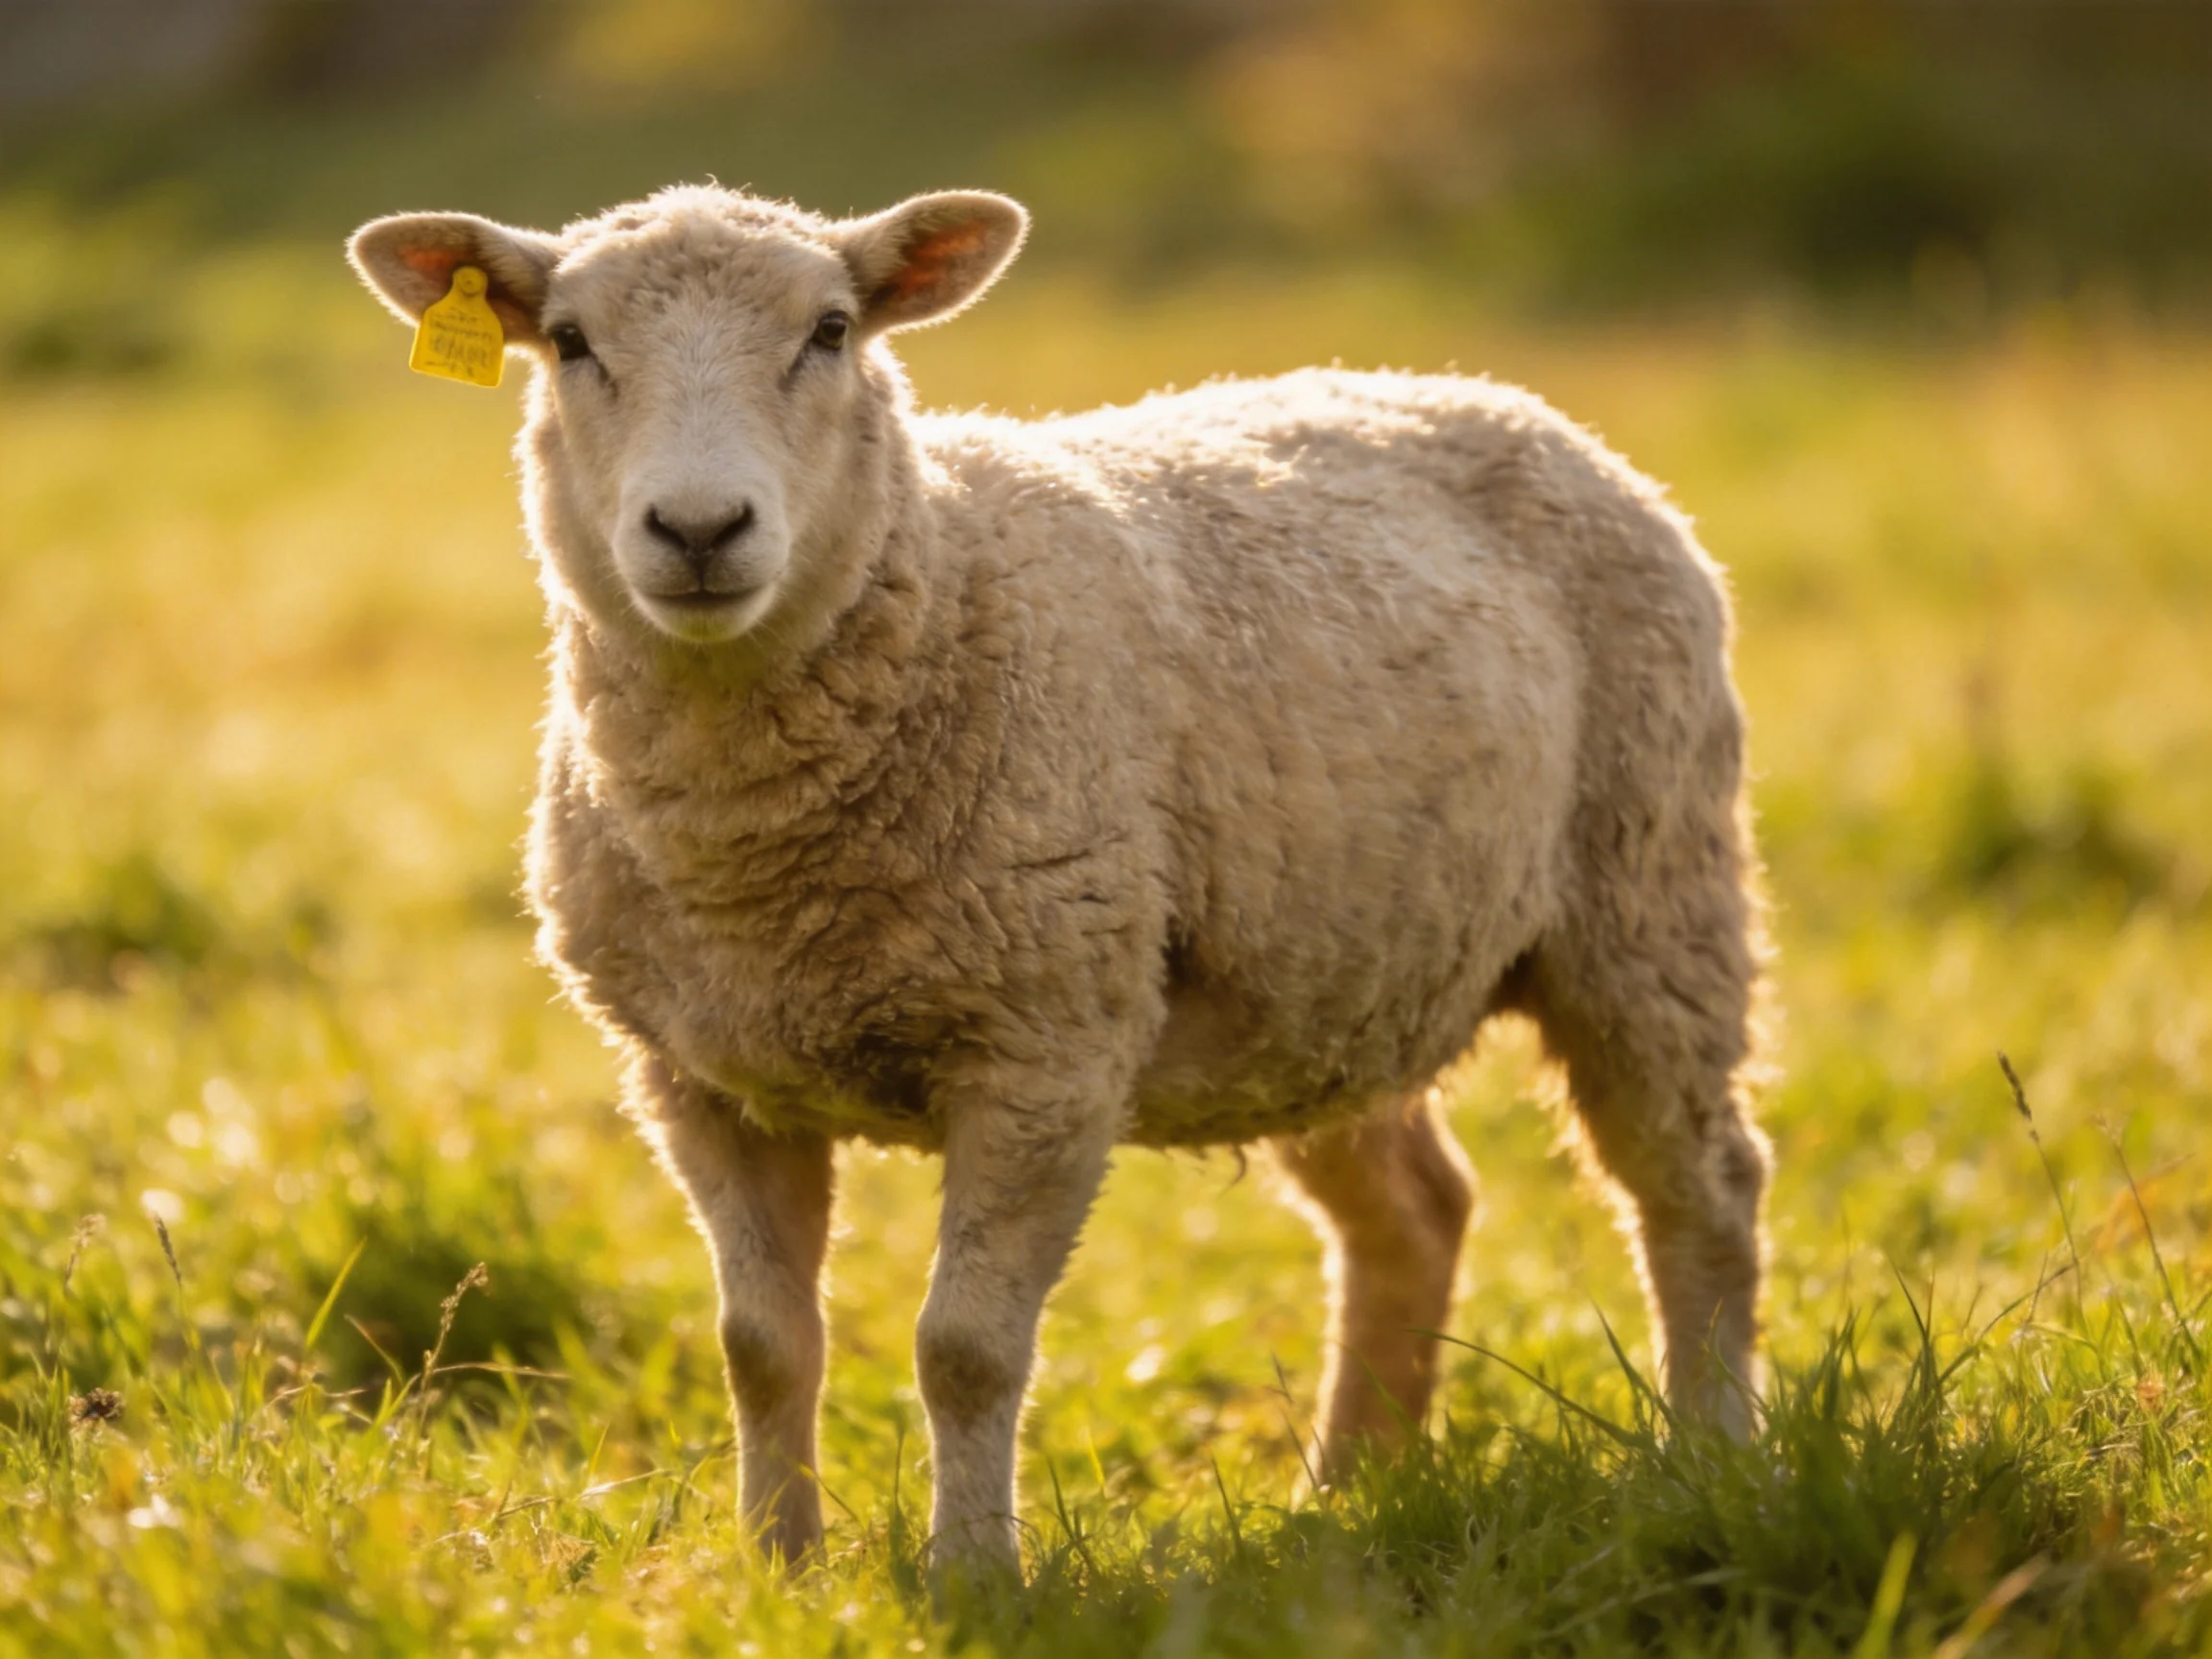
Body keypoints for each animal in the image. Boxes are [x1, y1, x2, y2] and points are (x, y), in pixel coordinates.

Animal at [348, 183, 1772, 1575]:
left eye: (831, 332)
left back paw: (1709, 1461)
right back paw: (1350, 1493)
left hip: (1650, 896)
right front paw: (777, 1573)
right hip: (1331, 978)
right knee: (1416, 1212)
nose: (700, 529)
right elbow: (761, 1349)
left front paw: (974, 1584)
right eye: (570, 343)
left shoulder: (1046, 1045)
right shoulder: (698, 1077)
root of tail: (1499, 399)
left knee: (1702, 1188)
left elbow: (965, 1351)